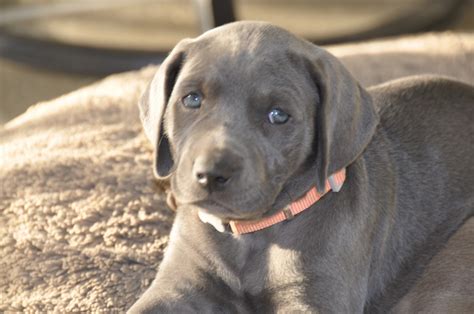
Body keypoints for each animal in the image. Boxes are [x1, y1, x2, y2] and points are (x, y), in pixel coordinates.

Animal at [129, 20, 474, 312]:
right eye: (192, 99)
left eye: (278, 115)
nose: (211, 175)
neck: (250, 237)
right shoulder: (177, 284)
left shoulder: (313, 297)